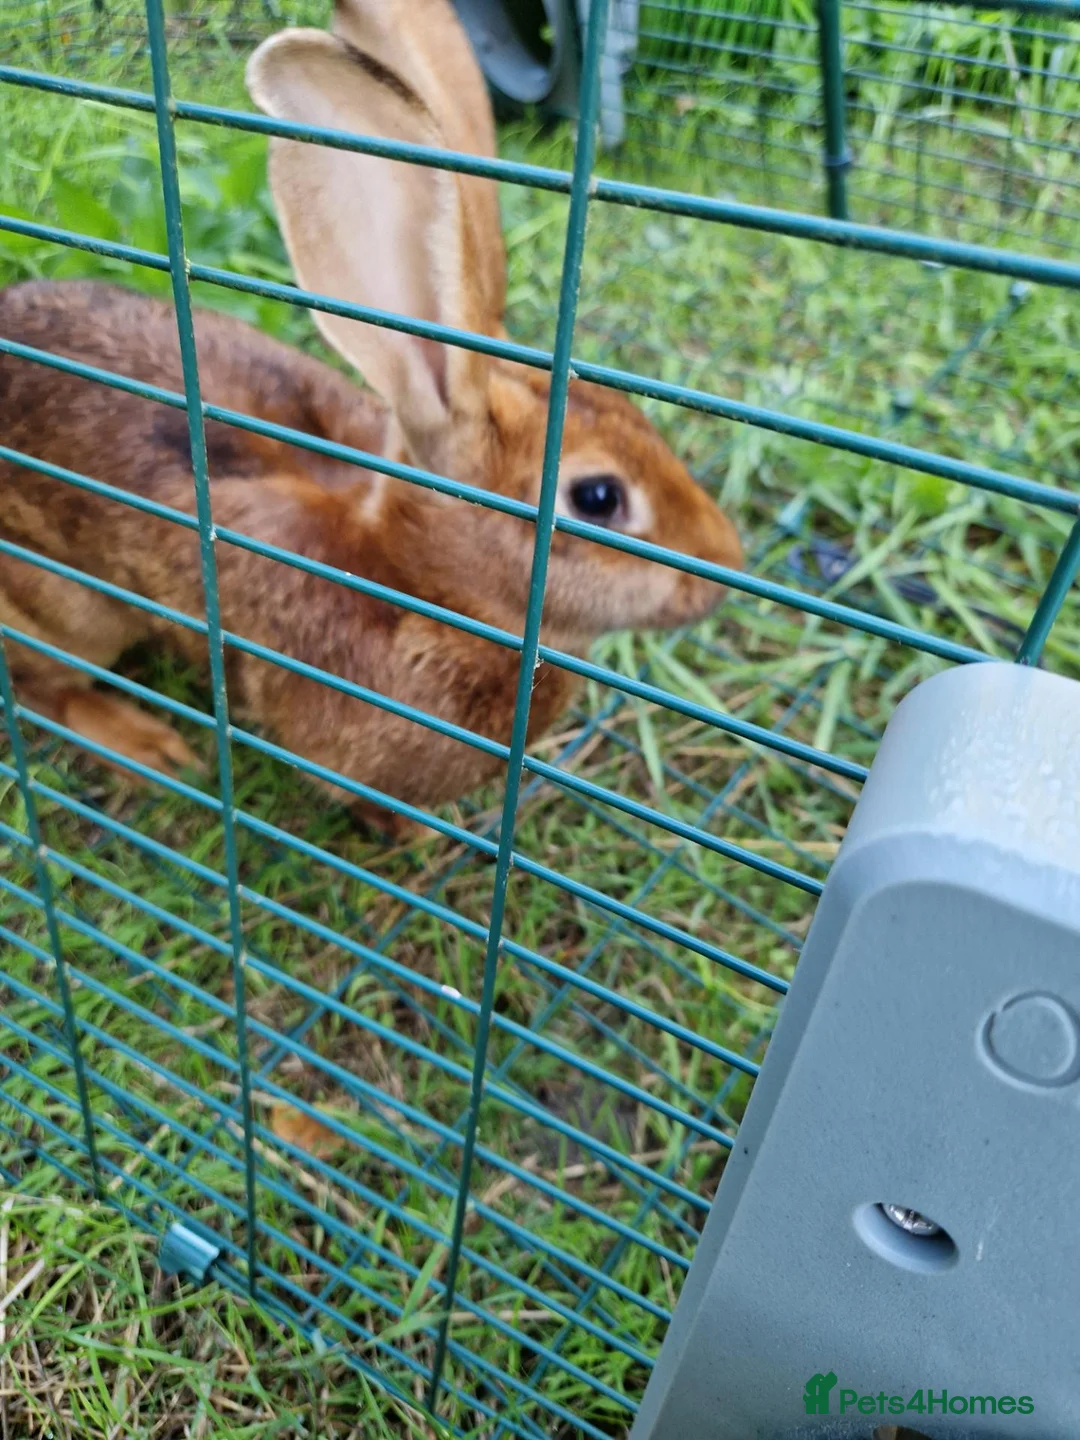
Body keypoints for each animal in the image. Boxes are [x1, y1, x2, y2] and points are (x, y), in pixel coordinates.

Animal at [0, 0, 743, 838]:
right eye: (599, 498)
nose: (725, 568)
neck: (421, 582)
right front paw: (406, 830)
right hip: (65, 608)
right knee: (43, 686)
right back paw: (147, 746)